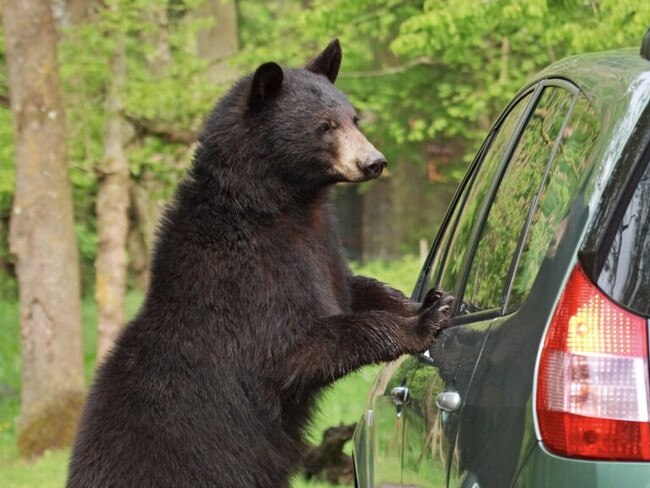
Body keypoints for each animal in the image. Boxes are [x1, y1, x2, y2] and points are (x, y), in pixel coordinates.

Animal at [66, 40, 450, 486]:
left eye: (354, 118)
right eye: (325, 127)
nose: (374, 161)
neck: (280, 204)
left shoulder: (322, 246)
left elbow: (353, 287)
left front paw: (429, 300)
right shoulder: (246, 275)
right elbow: (295, 347)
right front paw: (421, 323)